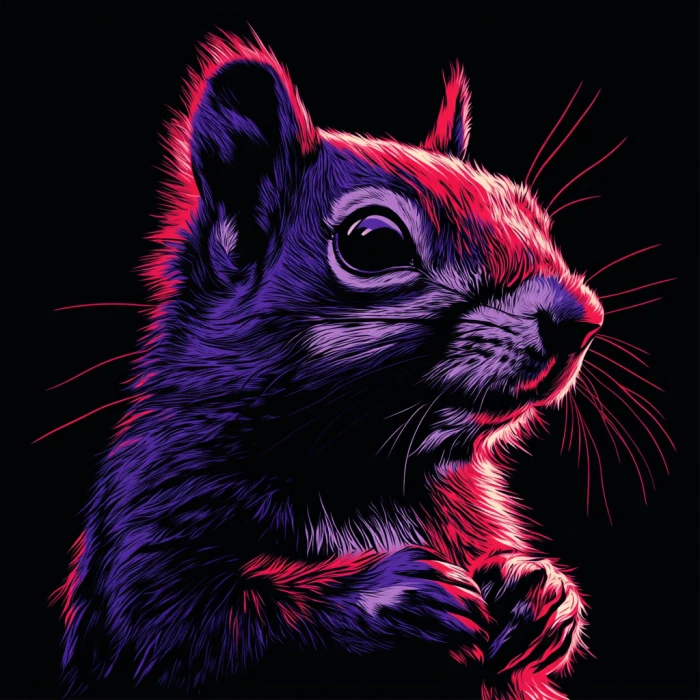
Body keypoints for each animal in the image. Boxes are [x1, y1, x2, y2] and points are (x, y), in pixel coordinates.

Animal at [52, 31, 603, 700]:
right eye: (373, 242)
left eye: (536, 216)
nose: (583, 318)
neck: (369, 471)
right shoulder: (147, 534)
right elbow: (192, 628)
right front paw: (388, 595)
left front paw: (542, 593)